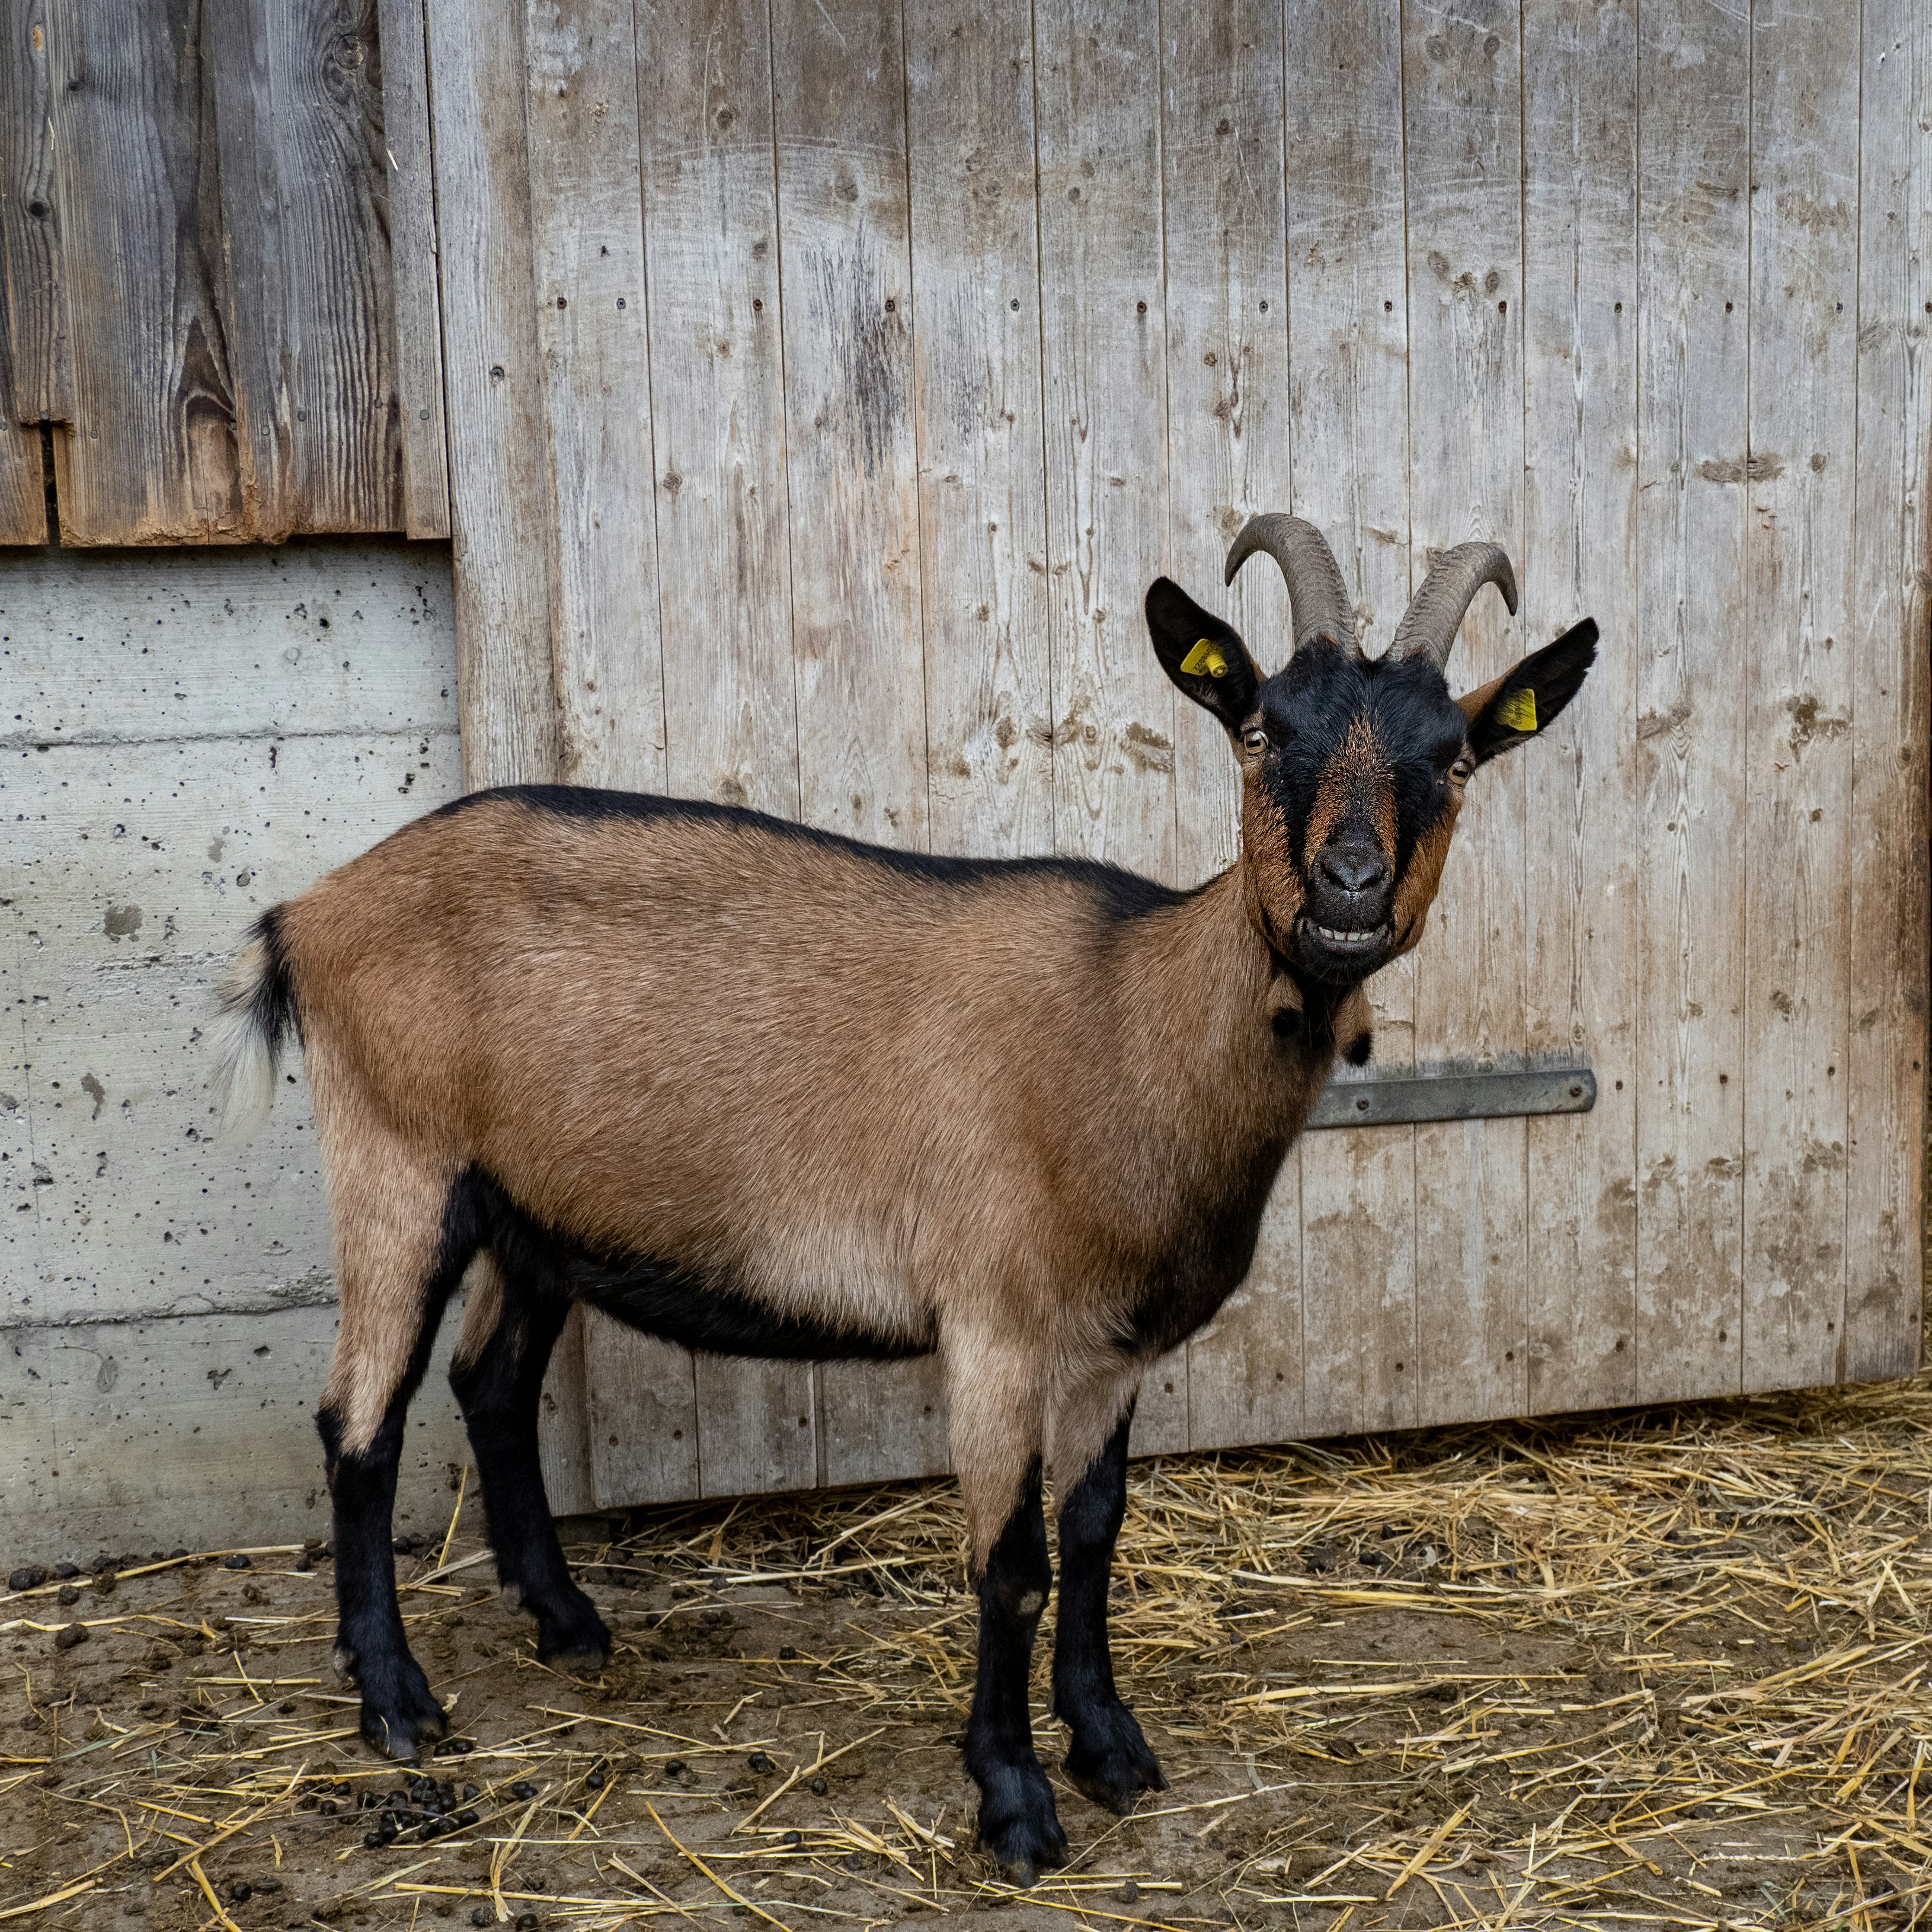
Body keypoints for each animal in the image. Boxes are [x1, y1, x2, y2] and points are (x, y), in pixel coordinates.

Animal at [215, 522, 1600, 1877]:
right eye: (1260, 732)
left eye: (1456, 760)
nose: (1349, 891)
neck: (1129, 1024)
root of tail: (308, 914)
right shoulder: (994, 1324)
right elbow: (1011, 1565)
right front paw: (1015, 1806)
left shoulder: (1112, 1345)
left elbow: (1097, 1531)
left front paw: (1111, 1750)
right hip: (397, 1164)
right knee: (360, 1420)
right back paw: (397, 1703)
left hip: (535, 1211)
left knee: (490, 1380)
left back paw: (569, 1625)